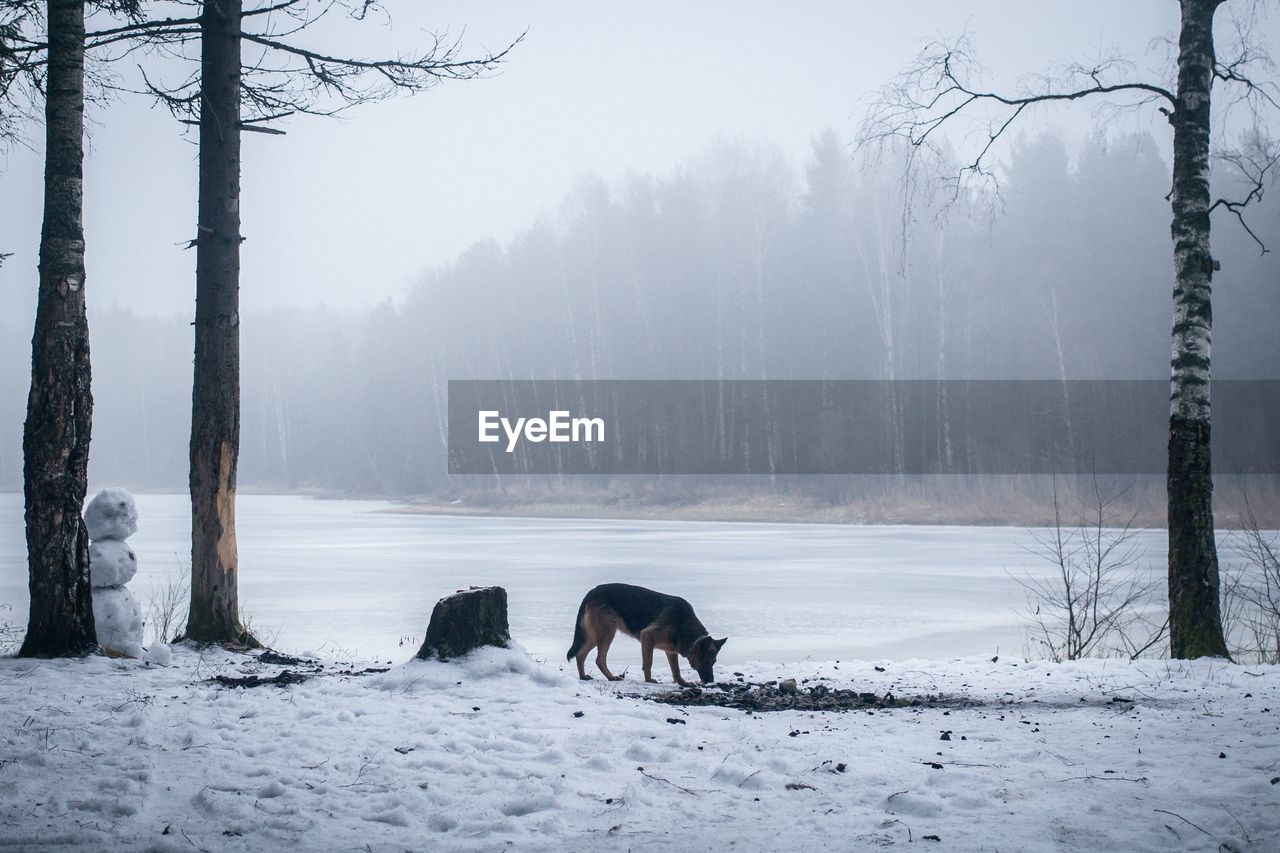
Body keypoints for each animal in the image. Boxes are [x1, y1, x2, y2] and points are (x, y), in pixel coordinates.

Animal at [565, 578, 727, 686]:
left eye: (714, 661)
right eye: (704, 660)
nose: (710, 681)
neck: (684, 624)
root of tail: (593, 590)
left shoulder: (671, 651)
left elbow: (676, 670)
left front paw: (683, 683)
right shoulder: (647, 637)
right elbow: (648, 663)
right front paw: (649, 680)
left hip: (595, 636)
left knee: (580, 654)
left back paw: (583, 676)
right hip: (606, 634)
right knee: (599, 659)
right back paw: (611, 677)